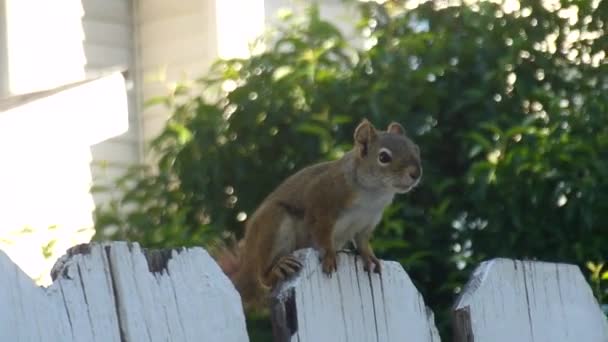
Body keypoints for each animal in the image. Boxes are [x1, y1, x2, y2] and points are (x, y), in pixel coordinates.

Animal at [216, 119, 420, 308]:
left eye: (416, 149)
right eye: (384, 157)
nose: (416, 174)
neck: (373, 195)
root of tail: (245, 269)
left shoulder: (367, 222)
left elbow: (362, 242)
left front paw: (370, 257)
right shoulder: (322, 200)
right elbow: (322, 232)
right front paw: (329, 256)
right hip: (273, 223)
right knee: (263, 276)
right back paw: (277, 268)